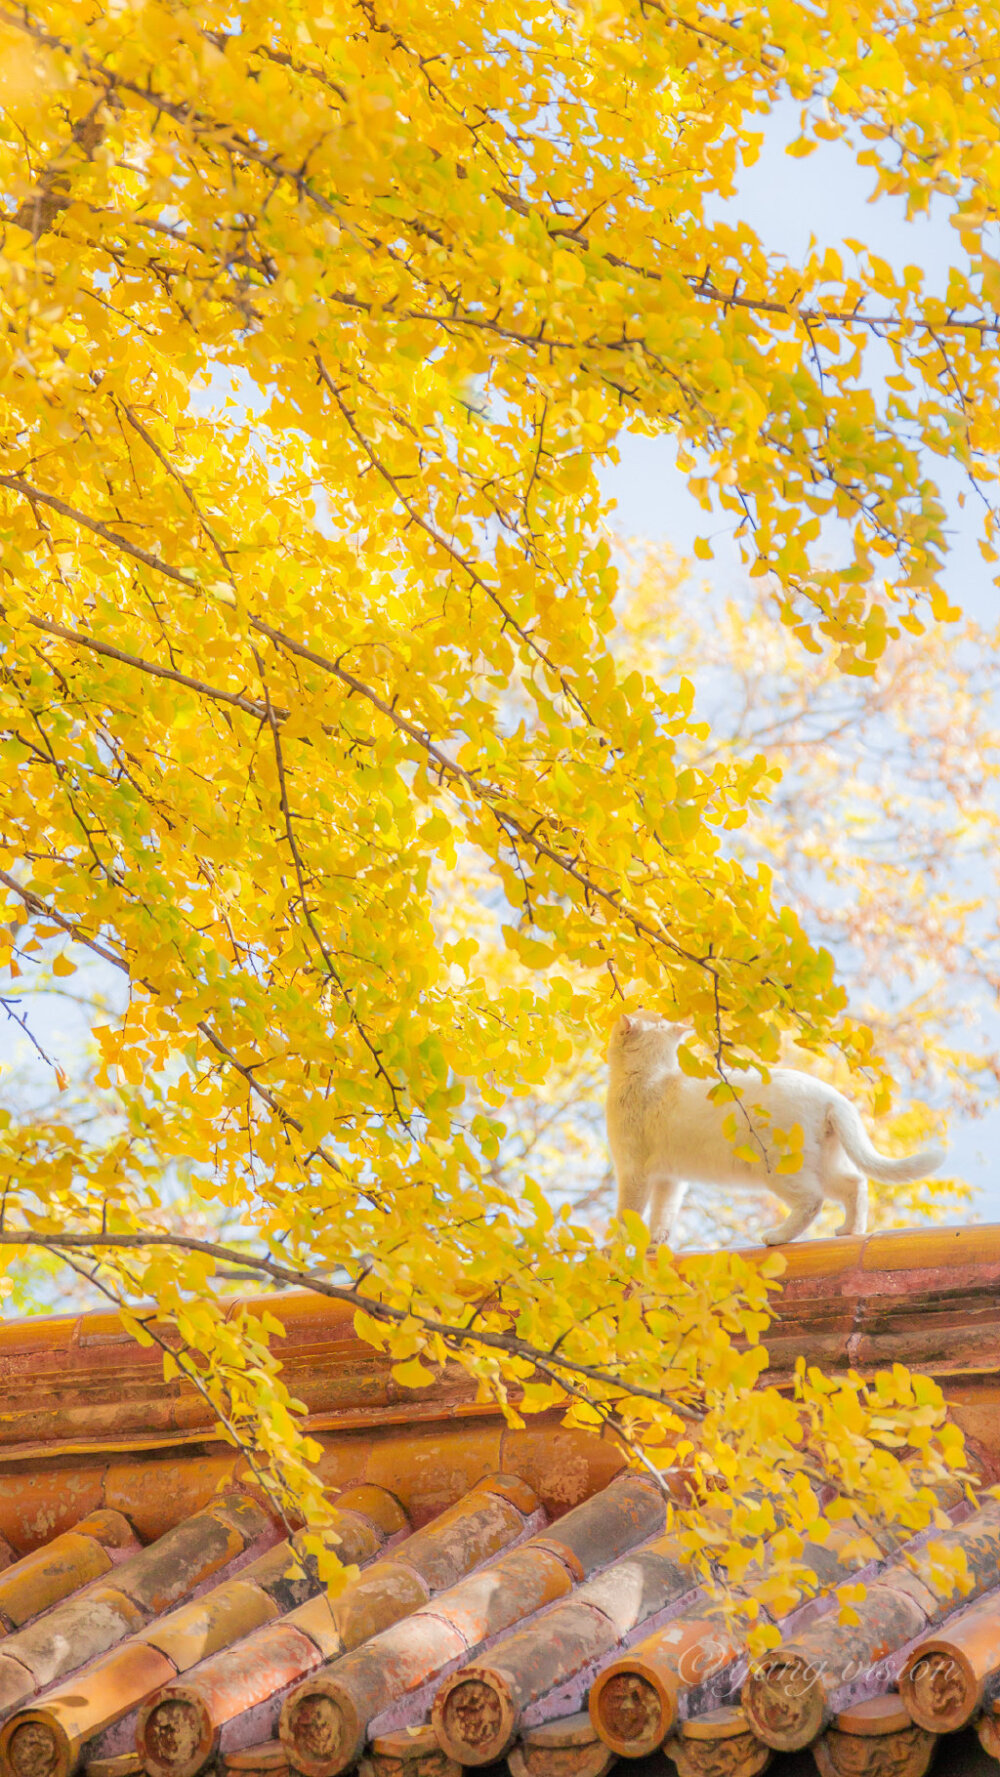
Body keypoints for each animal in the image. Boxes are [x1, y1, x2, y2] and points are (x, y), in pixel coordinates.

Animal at [607, 1016, 944, 1251]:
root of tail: (830, 1095)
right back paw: (850, 1230)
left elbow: (627, 1216)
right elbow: (662, 1217)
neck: (652, 1077)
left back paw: (777, 1237)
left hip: (778, 1169)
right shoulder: (670, 1178)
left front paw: (614, 1253)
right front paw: (655, 1247)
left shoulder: (634, 1172)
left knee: (813, 1201)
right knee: (855, 1183)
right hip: (822, 1165)